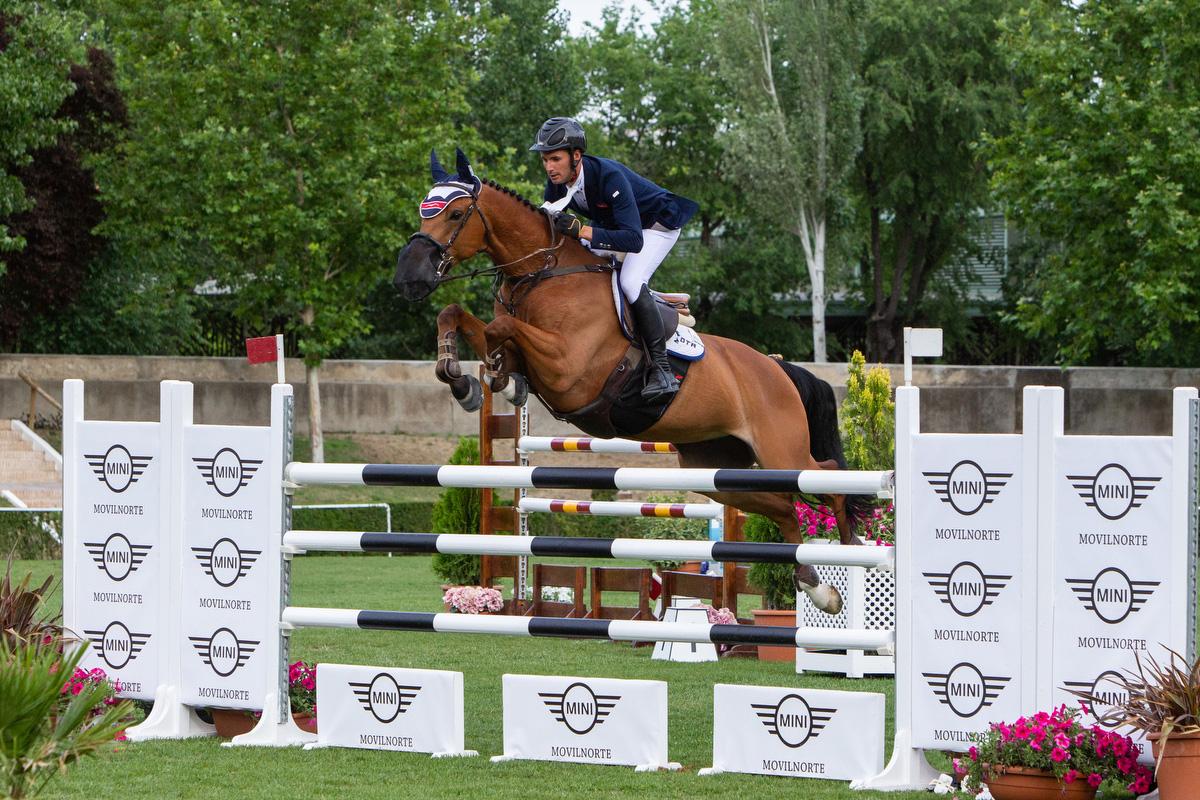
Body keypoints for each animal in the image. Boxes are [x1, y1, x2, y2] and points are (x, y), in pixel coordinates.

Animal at [396, 149, 873, 614]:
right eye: (423, 210)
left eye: (457, 214)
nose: (409, 278)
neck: (542, 273)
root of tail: (777, 368)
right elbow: (458, 317)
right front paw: (469, 381)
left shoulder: (569, 368)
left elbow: (502, 329)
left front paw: (494, 379)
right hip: (714, 468)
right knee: (784, 507)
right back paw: (817, 586)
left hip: (780, 452)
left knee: (830, 480)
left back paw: (855, 556)